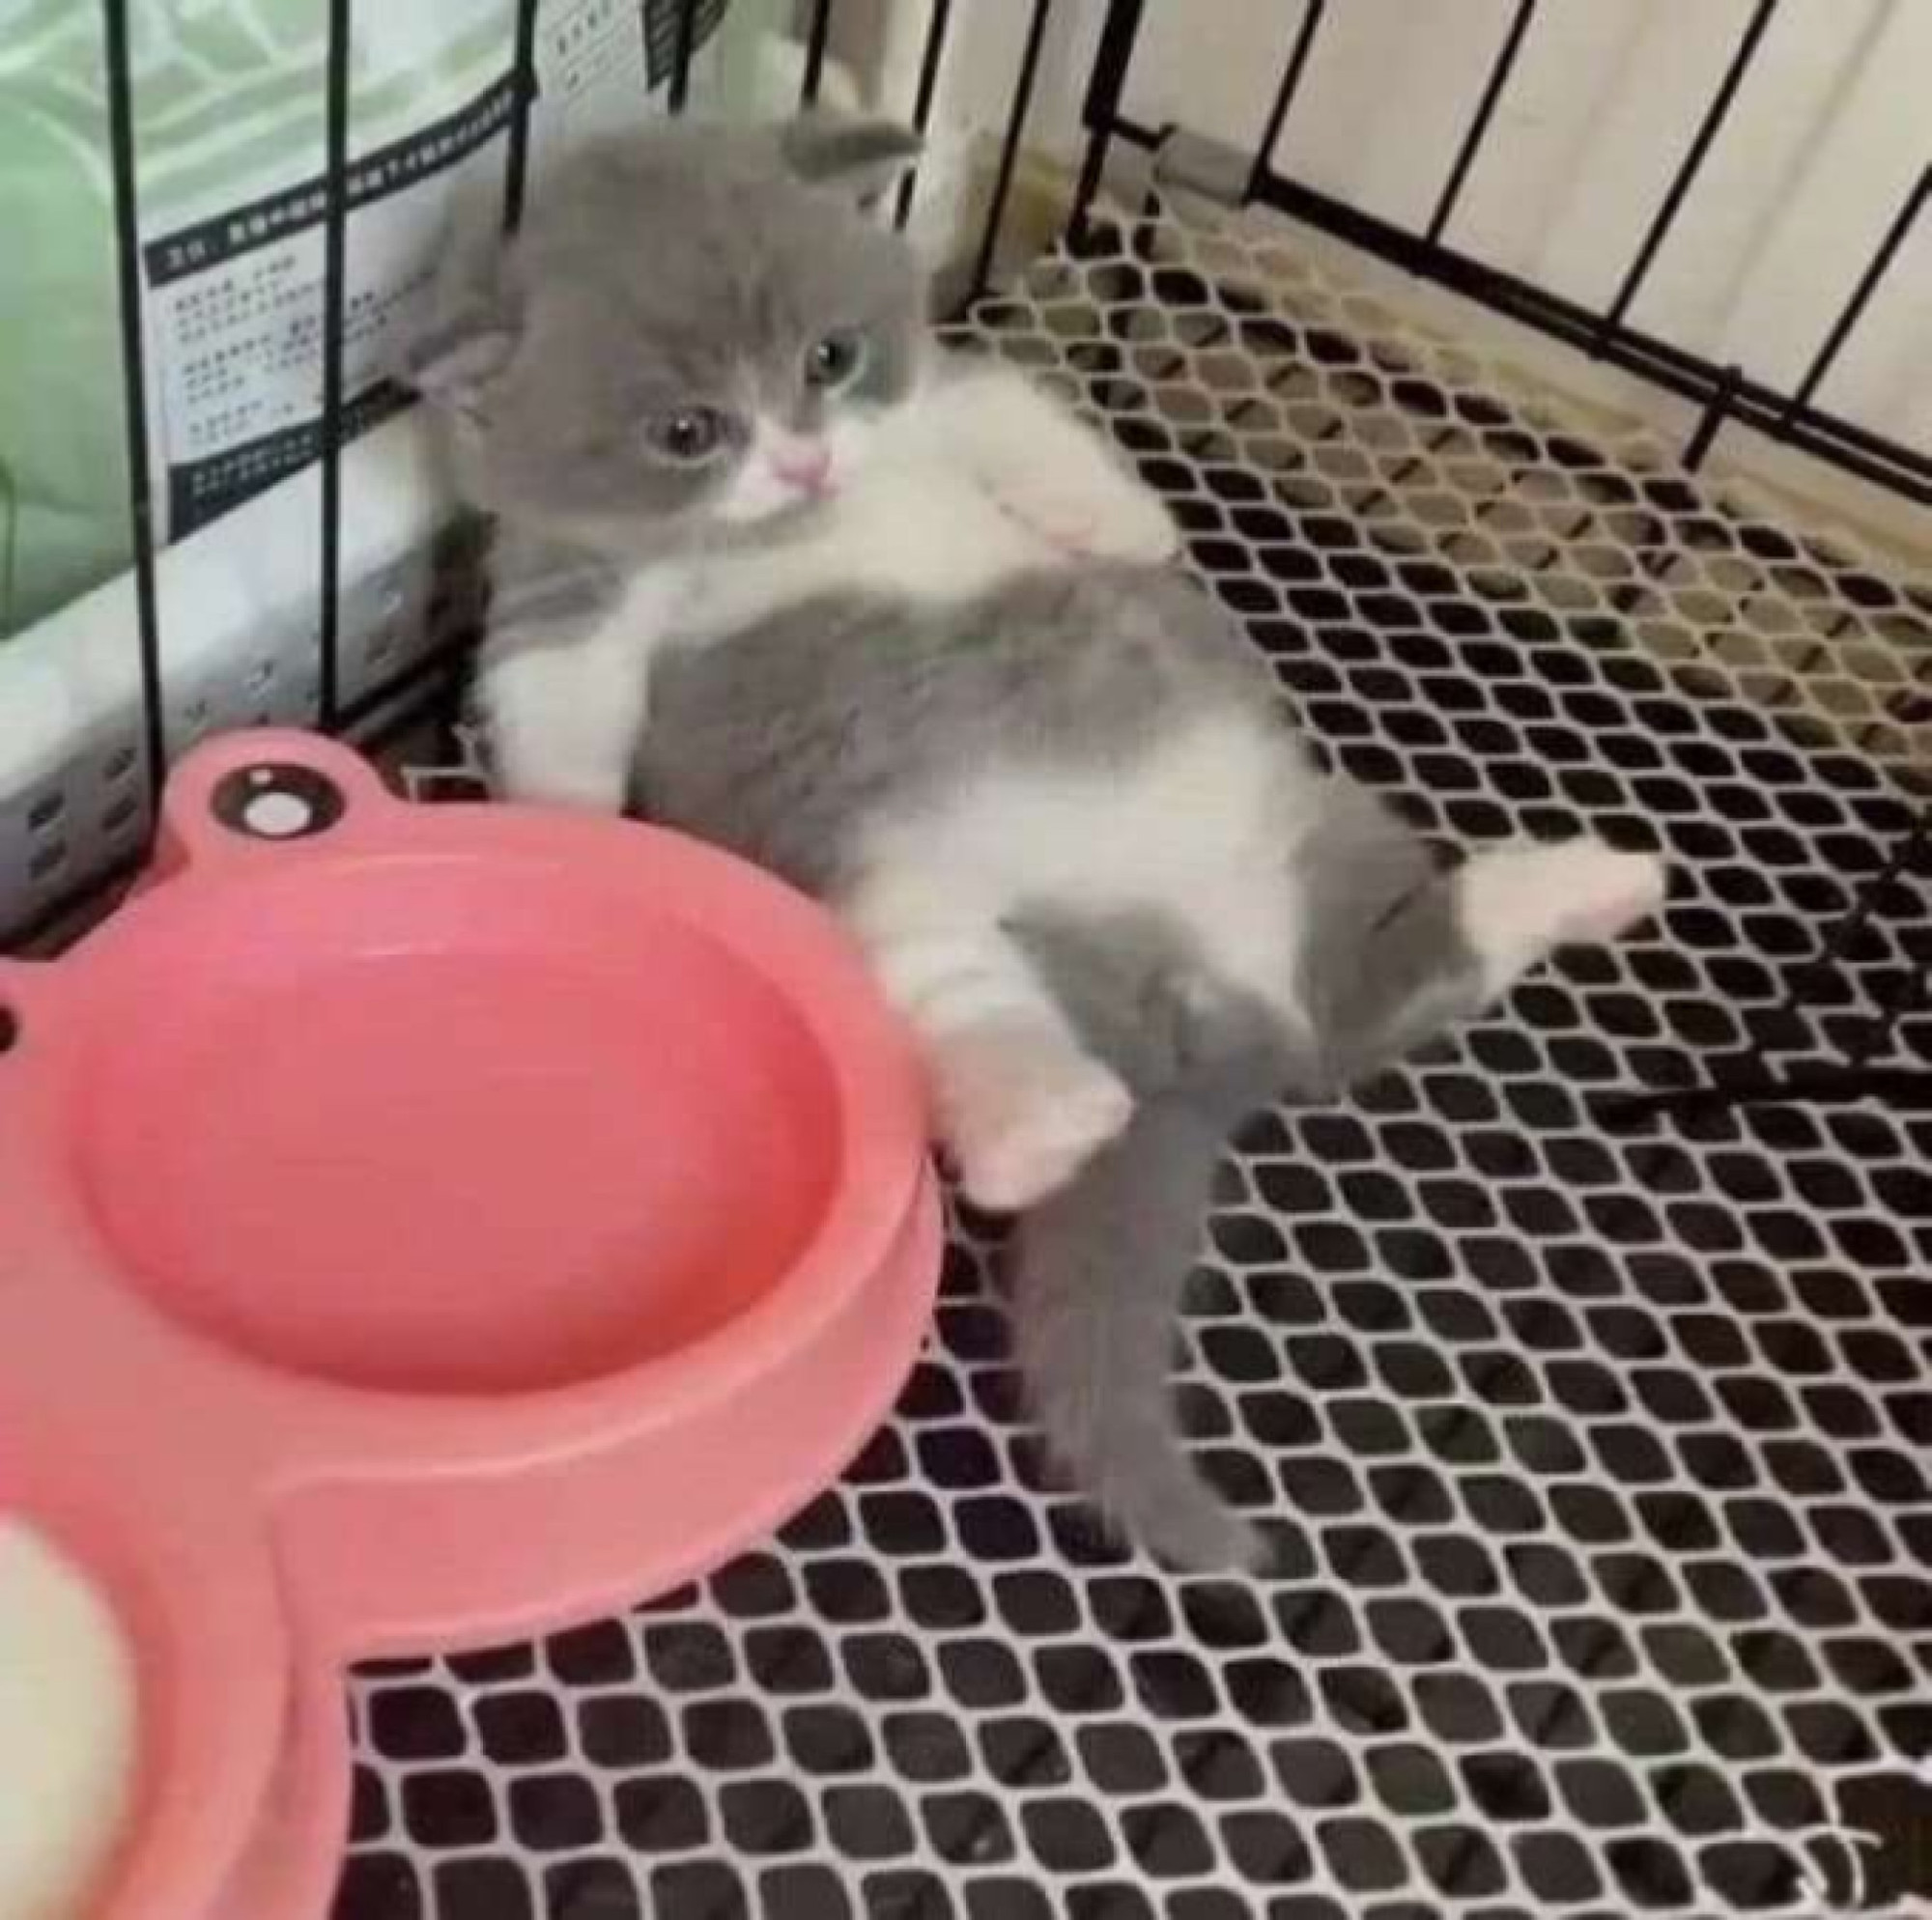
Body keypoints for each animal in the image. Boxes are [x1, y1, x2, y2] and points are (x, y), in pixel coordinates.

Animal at [404, 120, 1662, 1561]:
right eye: (688, 431)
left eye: (830, 358)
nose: (806, 462)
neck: (792, 523)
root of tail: (1209, 1030)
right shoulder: (563, 583)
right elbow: (559, 689)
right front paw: (570, 824)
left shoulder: (945, 397)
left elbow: (1015, 412)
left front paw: (1129, 526)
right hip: (884, 893)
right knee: (1008, 997)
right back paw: (1044, 1120)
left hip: (1308, 818)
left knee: (1374, 987)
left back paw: (1578, 886)